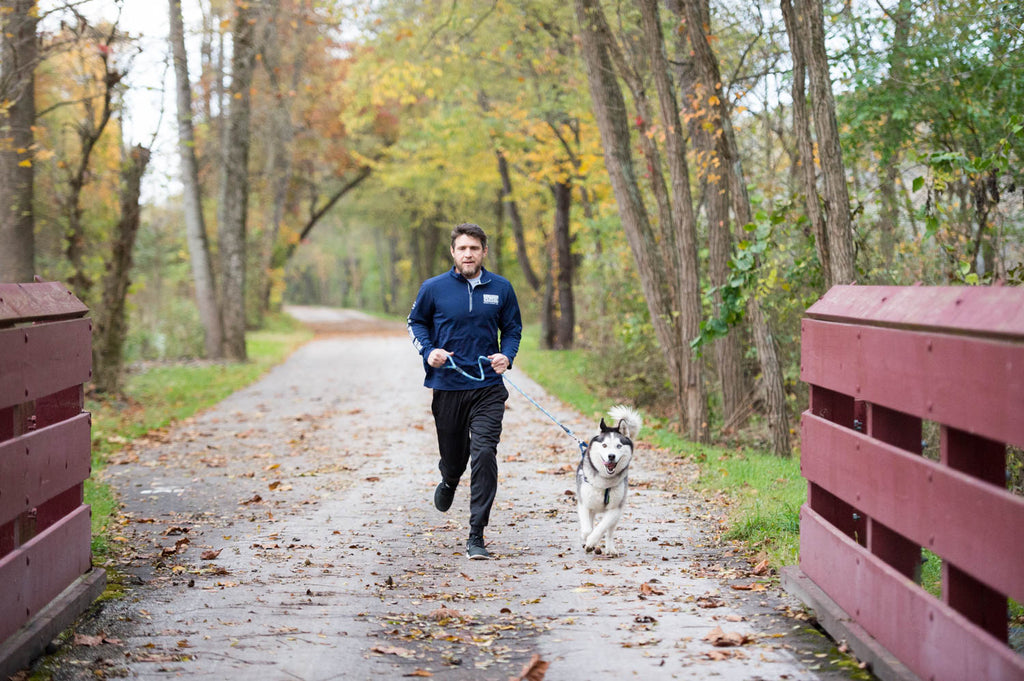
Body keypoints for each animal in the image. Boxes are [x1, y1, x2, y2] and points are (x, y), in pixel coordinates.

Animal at [577, 403, 638, 552]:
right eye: (604, 445)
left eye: (619, 446)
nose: (611, 456)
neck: (604, 482)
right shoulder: (584, 504)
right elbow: (587, 529)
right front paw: (586, 538)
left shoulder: (615, 509)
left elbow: (601, 528)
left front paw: (592, 541)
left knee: (609, 532)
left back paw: (610, 549)